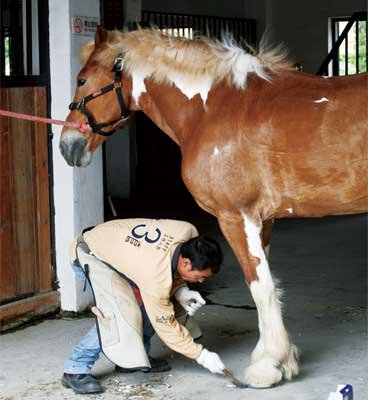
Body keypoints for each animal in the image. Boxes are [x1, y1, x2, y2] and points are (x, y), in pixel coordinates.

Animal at [59, 25, 366, 388]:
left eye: (81, 79)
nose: (68, 146)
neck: (212, 109)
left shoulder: (236, 217)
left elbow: (260, 287)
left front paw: (268, 366)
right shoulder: (262, 221)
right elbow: (265, 286)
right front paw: (279, 358)